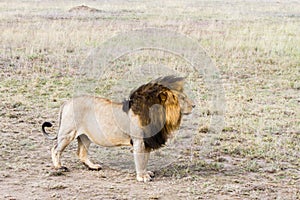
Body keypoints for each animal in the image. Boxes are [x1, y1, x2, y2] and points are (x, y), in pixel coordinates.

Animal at [43, 75, 196, 181]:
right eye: (182, 98)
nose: (194, 105)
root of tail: (67, 102)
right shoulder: (139, 140)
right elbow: (140, 160)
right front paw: (142, 177)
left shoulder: (147, 141)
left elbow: (145, 159)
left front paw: (146, 173)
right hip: (68, 133)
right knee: (55, 149)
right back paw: (59, 167)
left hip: (85, 136)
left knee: (81, 153)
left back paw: (93, 167)